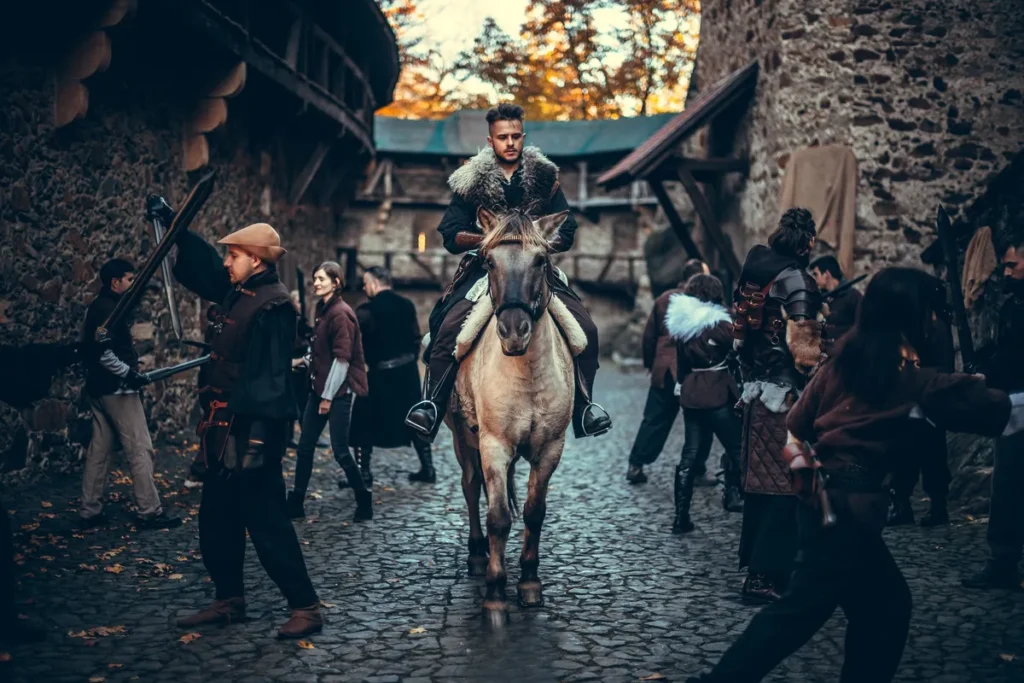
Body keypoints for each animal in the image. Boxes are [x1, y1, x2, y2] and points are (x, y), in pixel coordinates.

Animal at [442, 208, 581, 618]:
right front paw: (495, 593)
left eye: (540, 260)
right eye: (489, 262)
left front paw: (529, 582)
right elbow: (498, 516)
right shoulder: (494, 445)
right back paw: (477, 555)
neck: (526, 373)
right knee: (471, 486)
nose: (514, 332)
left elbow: (534, 512)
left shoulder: (550, 448)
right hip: (462, 437)